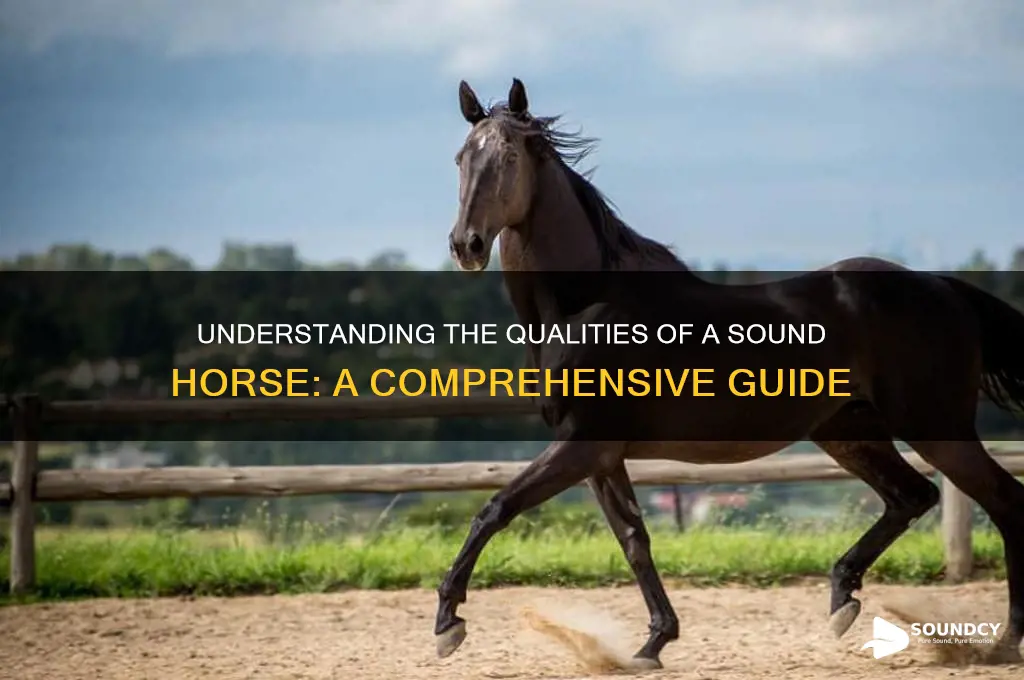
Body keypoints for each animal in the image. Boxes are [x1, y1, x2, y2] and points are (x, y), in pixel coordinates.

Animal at [437, 77, 1024, 669]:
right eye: (461, 158)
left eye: (510, 157)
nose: (466, 245)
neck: (586, 308)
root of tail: (943, 287)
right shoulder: (599, 455)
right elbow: (634, 538)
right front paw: (654, 642)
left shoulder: (581, 444)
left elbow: (495, 508)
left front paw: (448, 623)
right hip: (847, 431)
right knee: (913, 496)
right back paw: (843, 599)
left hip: (934, 427)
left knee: (1001, 500)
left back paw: (1004, 640)